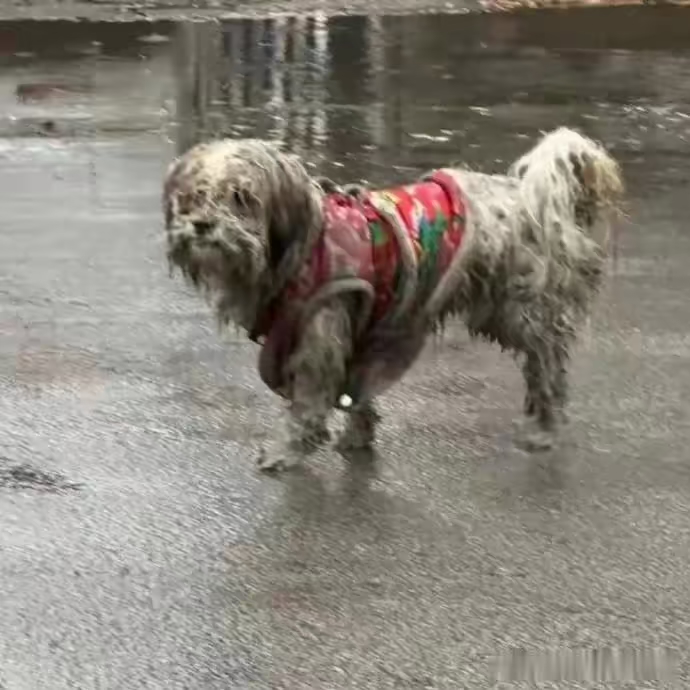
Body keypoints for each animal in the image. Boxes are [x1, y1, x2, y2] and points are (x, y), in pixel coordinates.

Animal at [164, 126, 620, 470]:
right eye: (196, 195)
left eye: (242, 198)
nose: (202, 225)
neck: (302, 247)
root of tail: (535, 200)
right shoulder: (360, 335)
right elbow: (356, 394)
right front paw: (357, 436)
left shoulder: (320, 334)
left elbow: (308, 406)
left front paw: (285, 452)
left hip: (518, 309)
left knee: (548, 364)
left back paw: (544, 428)